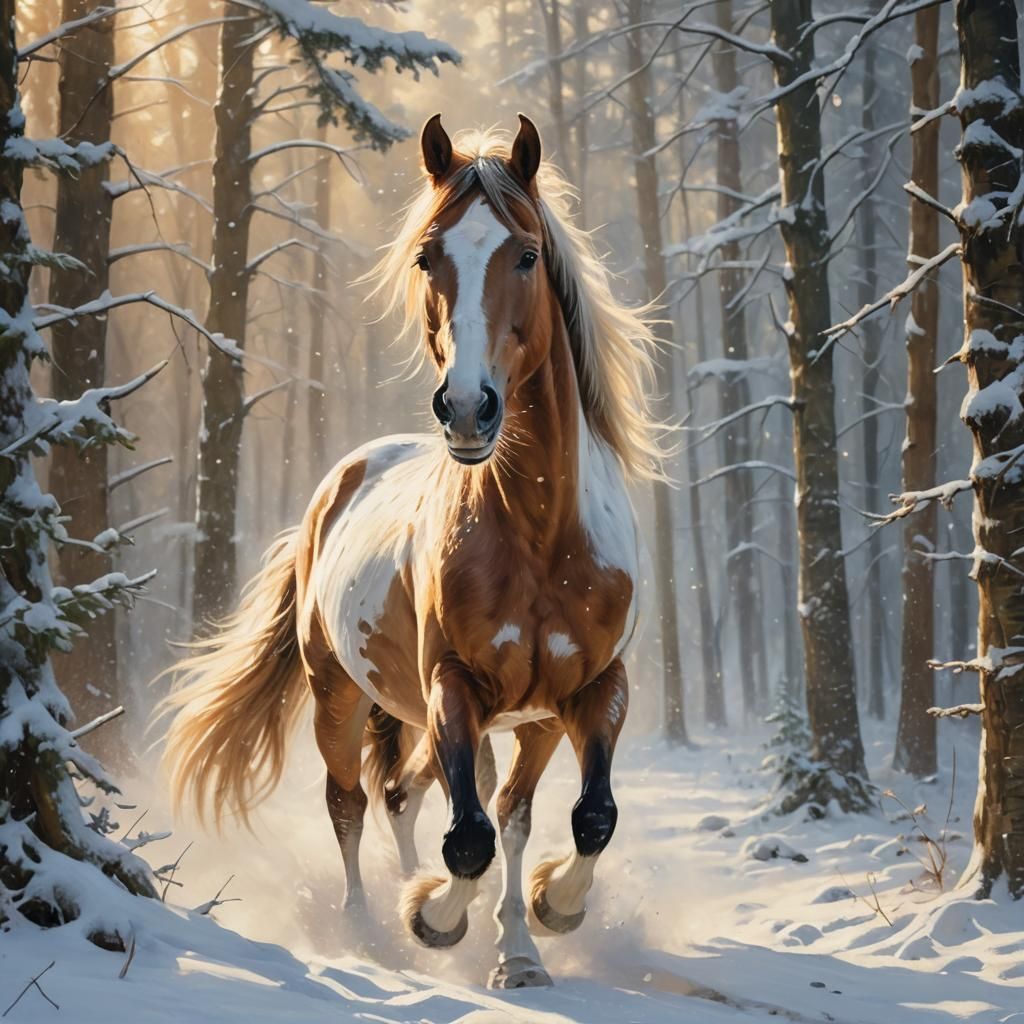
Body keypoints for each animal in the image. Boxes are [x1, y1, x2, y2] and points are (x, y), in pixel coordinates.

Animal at [160, 113, 668, 989]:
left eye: (526, 254)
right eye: (428, 255)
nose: (467, 409)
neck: (540, 535)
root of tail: (335, 487)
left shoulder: (587, 691)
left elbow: (578, 817)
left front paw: (538, 924)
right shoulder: (451, 687)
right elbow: (467, 837)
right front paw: (434, 918)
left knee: (424, 796)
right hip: (338, 695)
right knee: (355, 803)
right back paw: (371, 929)